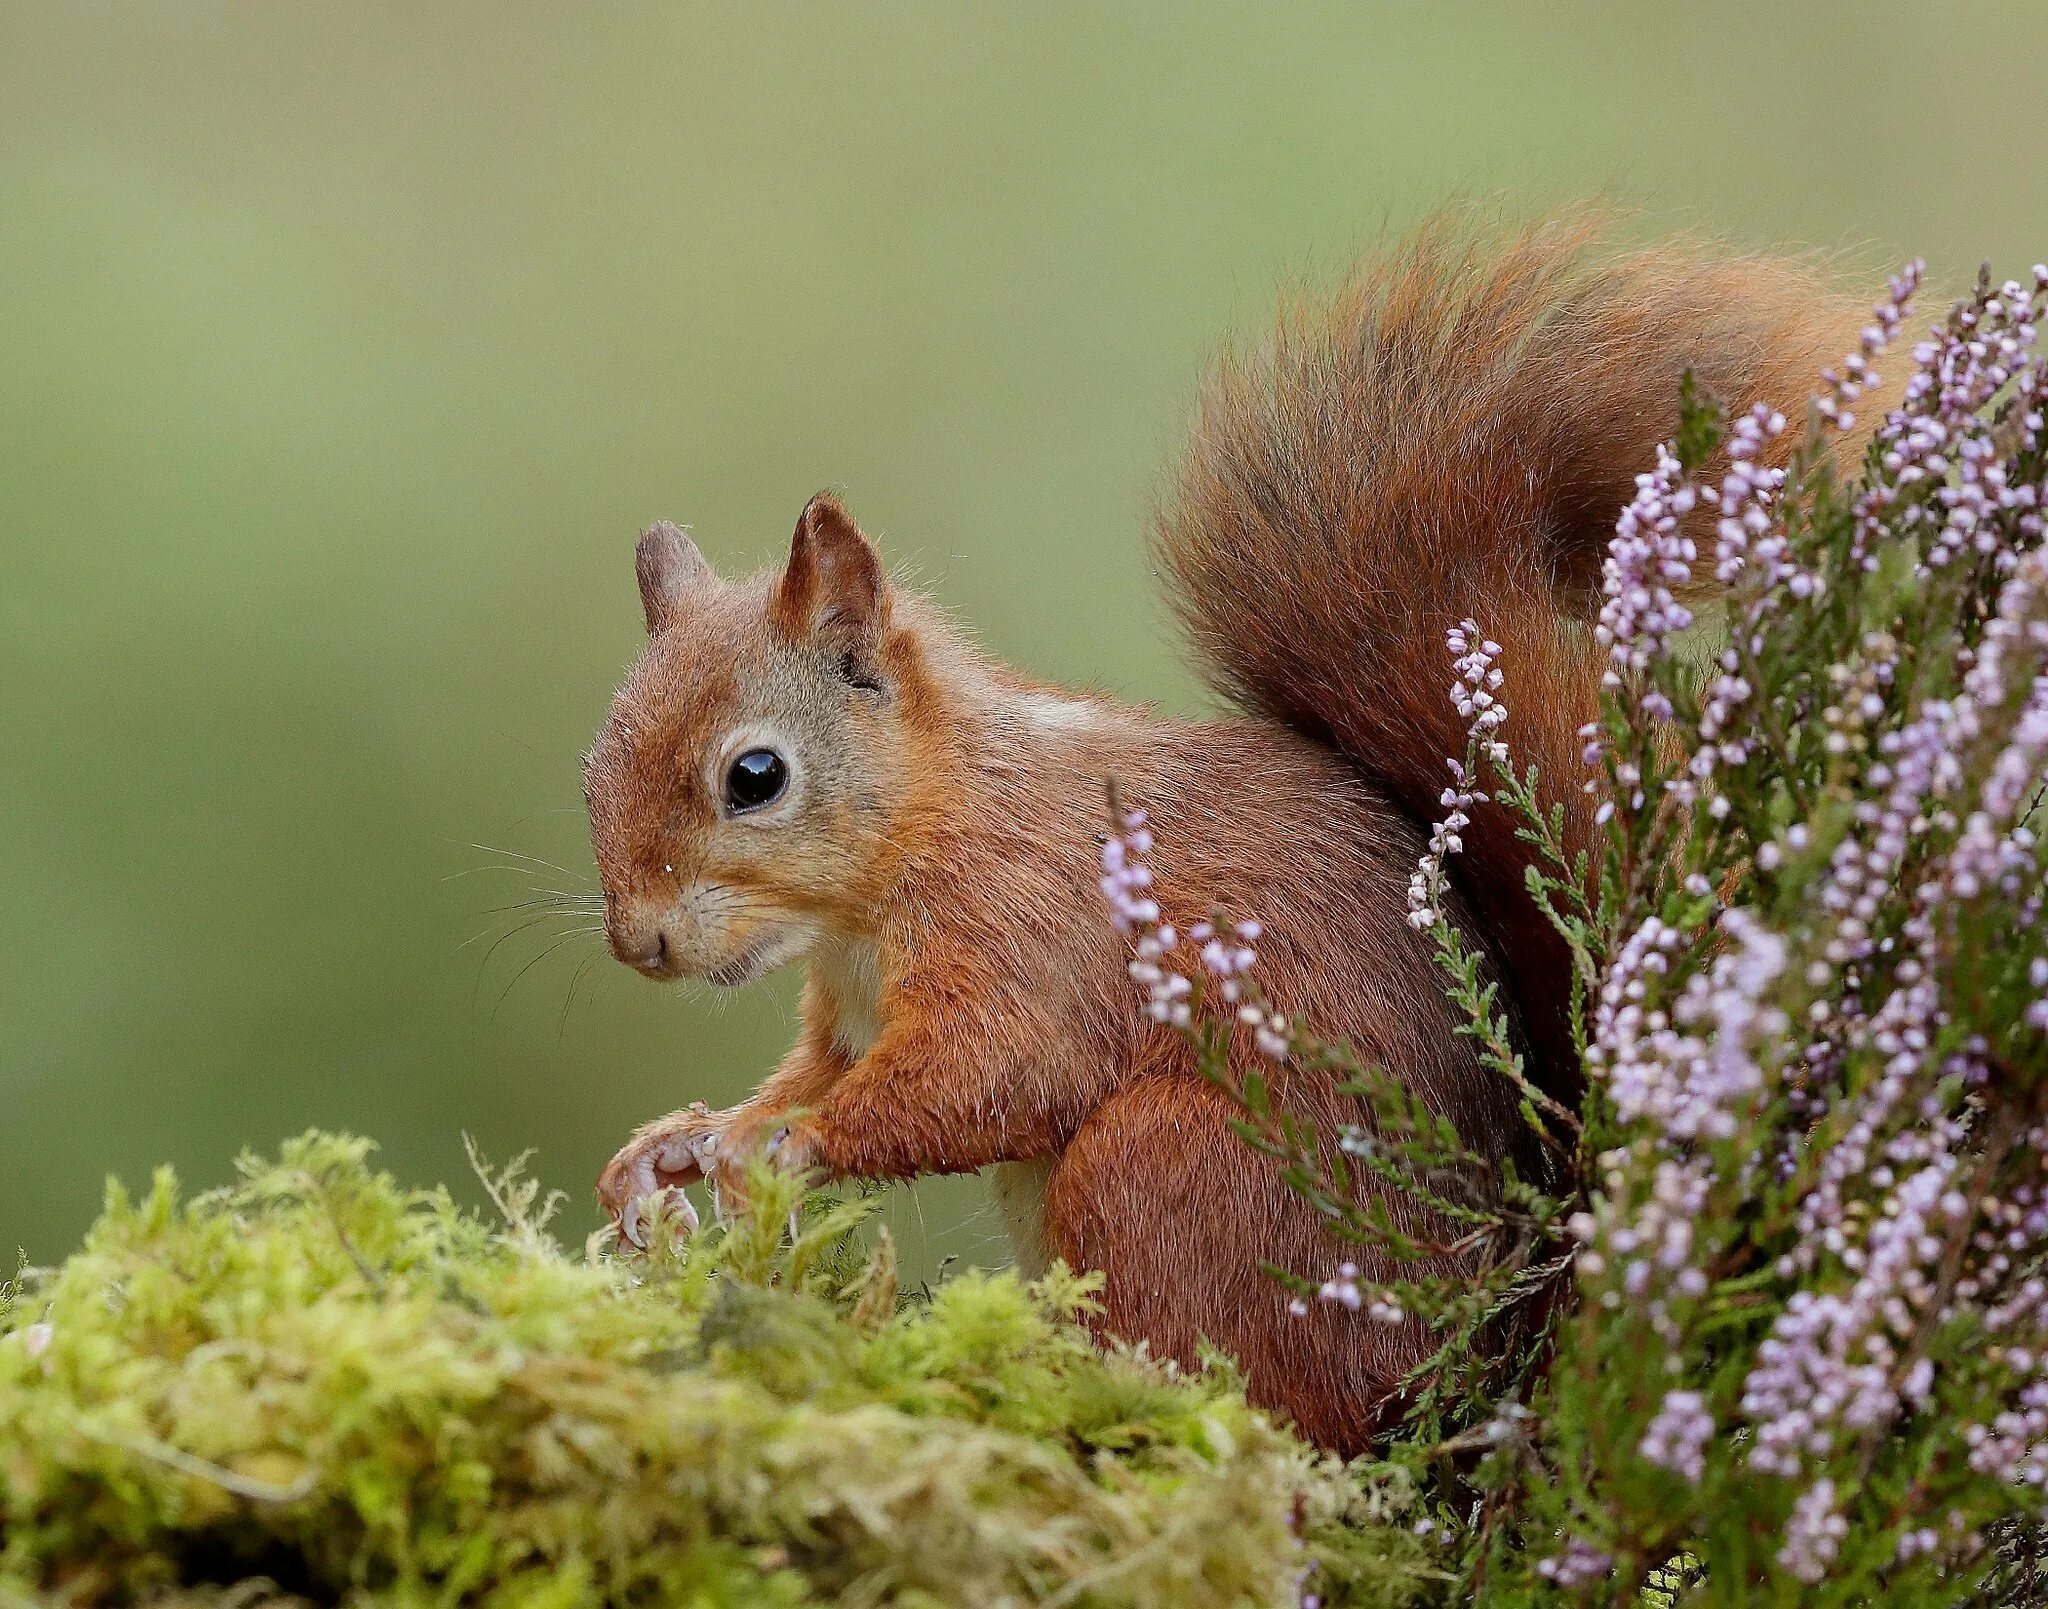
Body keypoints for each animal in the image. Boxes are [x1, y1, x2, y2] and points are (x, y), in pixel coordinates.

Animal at [577, 206, 1875, 1449]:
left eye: (754, 775)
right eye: (592, 763)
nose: (637, 945)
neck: (904, 854)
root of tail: (1478, 1351)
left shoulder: (1030, 929)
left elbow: (973, 1081)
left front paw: (783, 1149)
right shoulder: (848, 1009)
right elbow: (817, 1073)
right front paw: (682, 1141)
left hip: (1170, 1169)